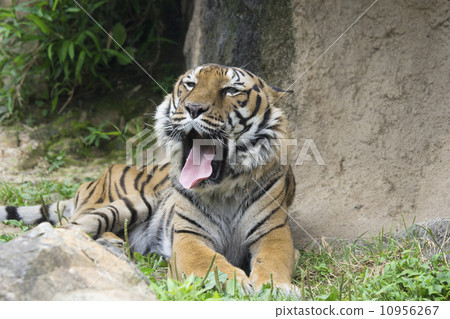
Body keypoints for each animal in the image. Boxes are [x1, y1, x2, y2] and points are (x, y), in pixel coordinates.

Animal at [2, 63, 302, 296]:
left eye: (231, 90)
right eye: (190, 85)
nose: (193, 108)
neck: (224, 189)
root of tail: (92, 180)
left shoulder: (273, 231)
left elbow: (272, 261)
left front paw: (276, 288)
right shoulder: (188, 236)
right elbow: (211, 262)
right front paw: (237, 284)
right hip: (129, 202)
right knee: (70, 230)